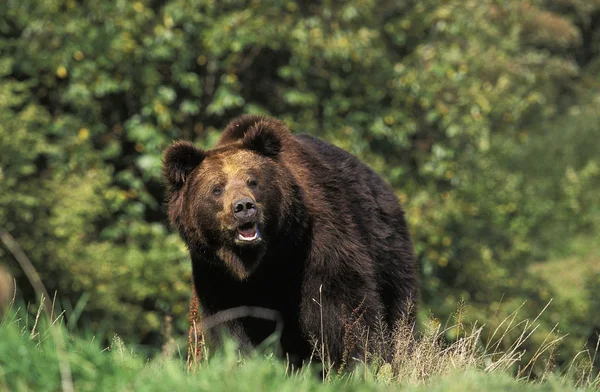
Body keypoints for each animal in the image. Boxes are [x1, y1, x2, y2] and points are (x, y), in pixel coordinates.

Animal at [163, 115, 418, 370]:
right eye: (217, 188)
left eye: (252, 181)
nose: (244, 207)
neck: (264, 259)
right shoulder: (216, 273)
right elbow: (232, 322)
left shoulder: (319, 244)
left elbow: (343, 305)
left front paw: (361, 360)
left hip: (387, 247)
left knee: (399, 307)